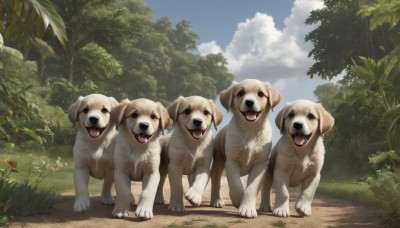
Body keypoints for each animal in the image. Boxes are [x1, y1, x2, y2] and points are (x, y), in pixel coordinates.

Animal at [209, 79, 282, 218]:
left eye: (260, 94)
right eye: (241, 93)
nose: (249, 102)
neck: (249, 130)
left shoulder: (260, 164)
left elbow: (251, 188)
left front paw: (247, 208)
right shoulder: (231, 161)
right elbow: (236, 185)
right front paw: (238, 201)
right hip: (218, 161)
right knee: (216, 180)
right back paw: (217, 201)